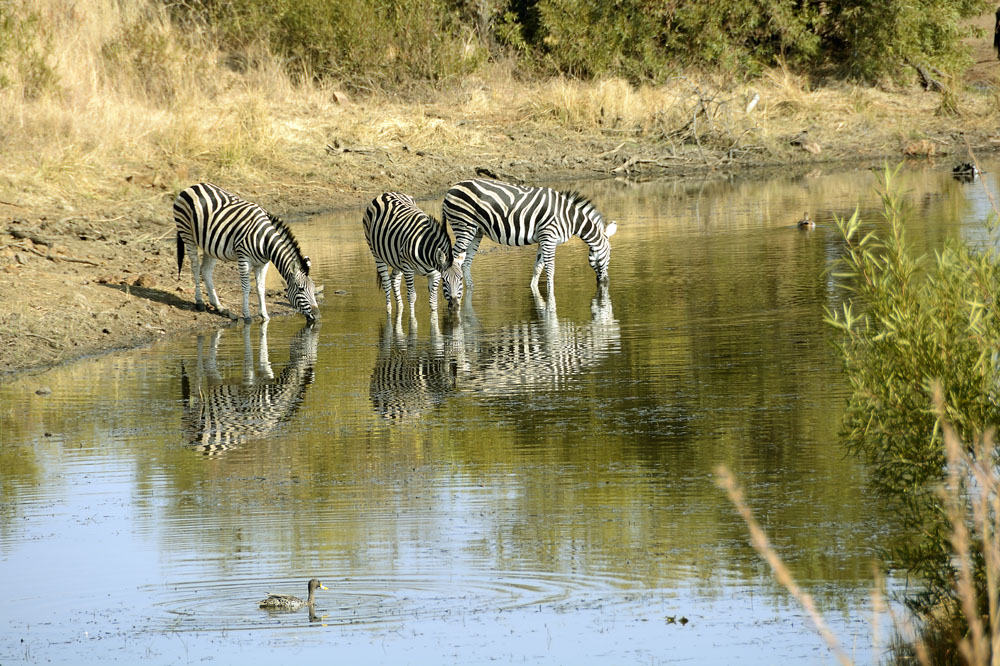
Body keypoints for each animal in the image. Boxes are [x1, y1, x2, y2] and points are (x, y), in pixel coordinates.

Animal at [174, 182, 319, 324]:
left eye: (313, 289)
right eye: (300, 289)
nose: (317, 315)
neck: (265, 241)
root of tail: (193, 186)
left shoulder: (263, 264)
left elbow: (261, 287)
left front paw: (264, 315)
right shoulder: (244, 258)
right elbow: (246, 287)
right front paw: (247, 315)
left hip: (209, 245)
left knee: (206, 271)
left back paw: (219, 306)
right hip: (187, 233)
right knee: (195, 267)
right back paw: (199, 302)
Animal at [440, 179, 618, 306]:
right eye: (609, 254)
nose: (606, 282)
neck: (569, 217)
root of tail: (450, 189)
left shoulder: (543, 240)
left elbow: (538, 267)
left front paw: (534, 291)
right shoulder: (549, 237)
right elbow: (550, 269)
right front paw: (551, 296)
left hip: (476, 232)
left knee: (465, 263)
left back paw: (470, 290)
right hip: (464, 226)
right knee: (451, 261)